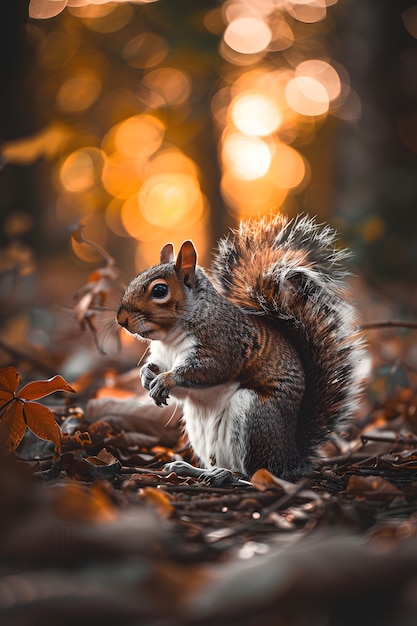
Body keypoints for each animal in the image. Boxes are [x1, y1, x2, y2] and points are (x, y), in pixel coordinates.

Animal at [116, 212, 364, 480]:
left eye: (160, 290)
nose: (121, 319)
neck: (170, 337)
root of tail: (290, 458)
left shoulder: (224, 343)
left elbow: (208, 370)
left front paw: (166, 380)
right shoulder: (162, 355)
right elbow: (160, 369)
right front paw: (146, 375)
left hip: (253, 416)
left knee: (254, 472)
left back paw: (224, 476)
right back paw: (191, 468)